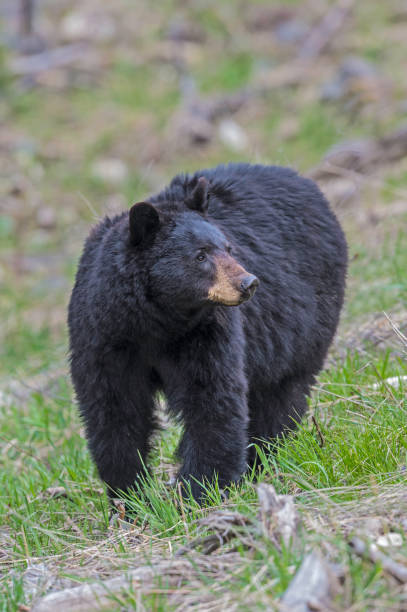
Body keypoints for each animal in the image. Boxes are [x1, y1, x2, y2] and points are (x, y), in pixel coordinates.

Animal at [68, 163, 350, 502]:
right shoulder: (103, 338)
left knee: (281, 394)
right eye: (200, 255)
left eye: (228, 247)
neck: (156, 322)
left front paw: (200, 491)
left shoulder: (207, 332)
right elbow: (114, 410)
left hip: (305, 325)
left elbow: (212, 398)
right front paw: (129, 497)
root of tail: (302, 181)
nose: (248, 283)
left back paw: (260, 460)